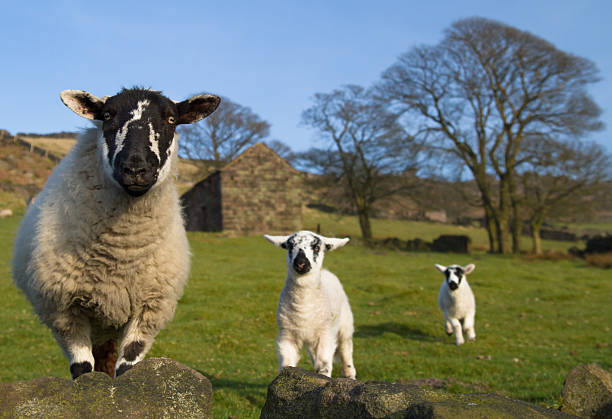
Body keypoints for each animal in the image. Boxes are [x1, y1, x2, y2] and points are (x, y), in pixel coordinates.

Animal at [11, 87, 220, 378]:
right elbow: (83, 371)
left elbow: (128, 369)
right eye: (108, 115)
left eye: (171, 120)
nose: (135, 169)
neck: (121, 253)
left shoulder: (149, 309)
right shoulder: (64, 312)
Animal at [266, 231, 356, 378]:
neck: (304, 308)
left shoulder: (325, 335)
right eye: (290, 246)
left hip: (345, 325)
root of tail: (326, 271)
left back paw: (350, 375)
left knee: (346, 352)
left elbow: (324, 367)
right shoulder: (286, 336)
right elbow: (286, 365)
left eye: (316, 248)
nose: (301, 263)